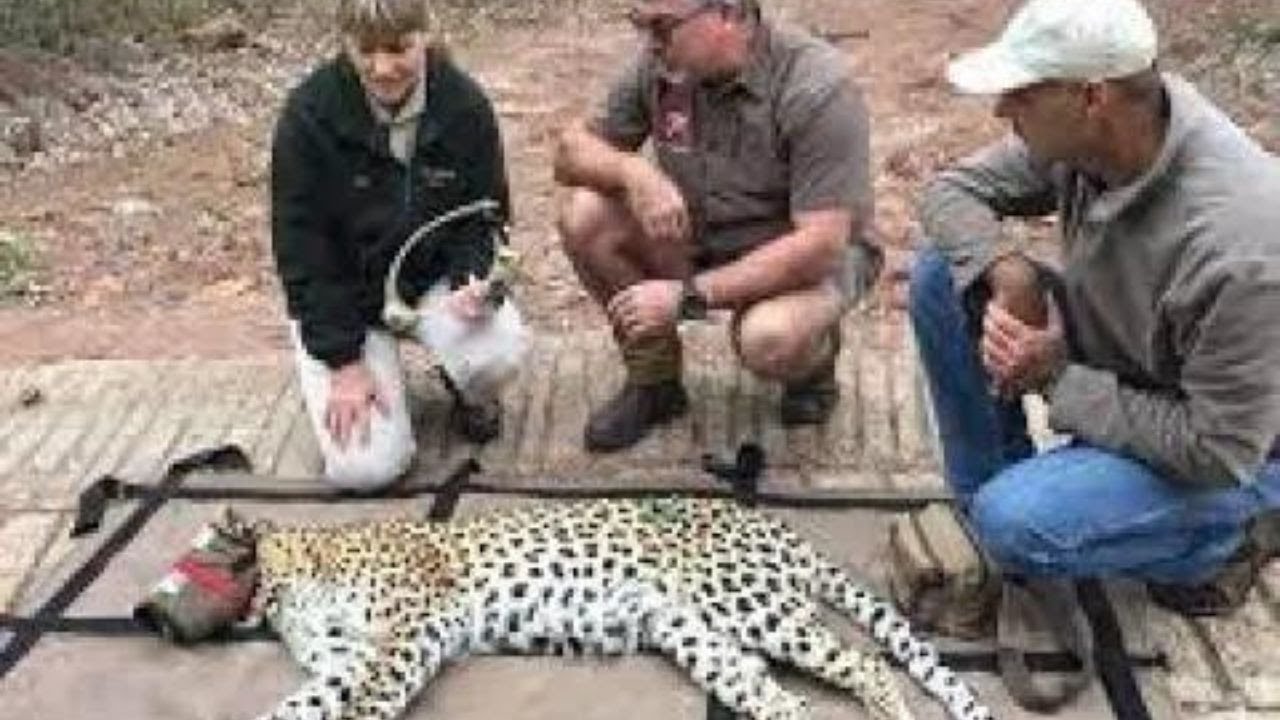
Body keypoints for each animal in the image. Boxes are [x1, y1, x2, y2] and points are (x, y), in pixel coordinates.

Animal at [215, 497, 994, 720]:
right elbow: (303, 702)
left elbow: (370, 701)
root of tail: (768, 521)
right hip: (696, 636)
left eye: (263, 590)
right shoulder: (344, 662)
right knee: (783, 703)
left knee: (867, 662)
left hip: (746, 604)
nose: (247, 622)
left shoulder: (412, 628)